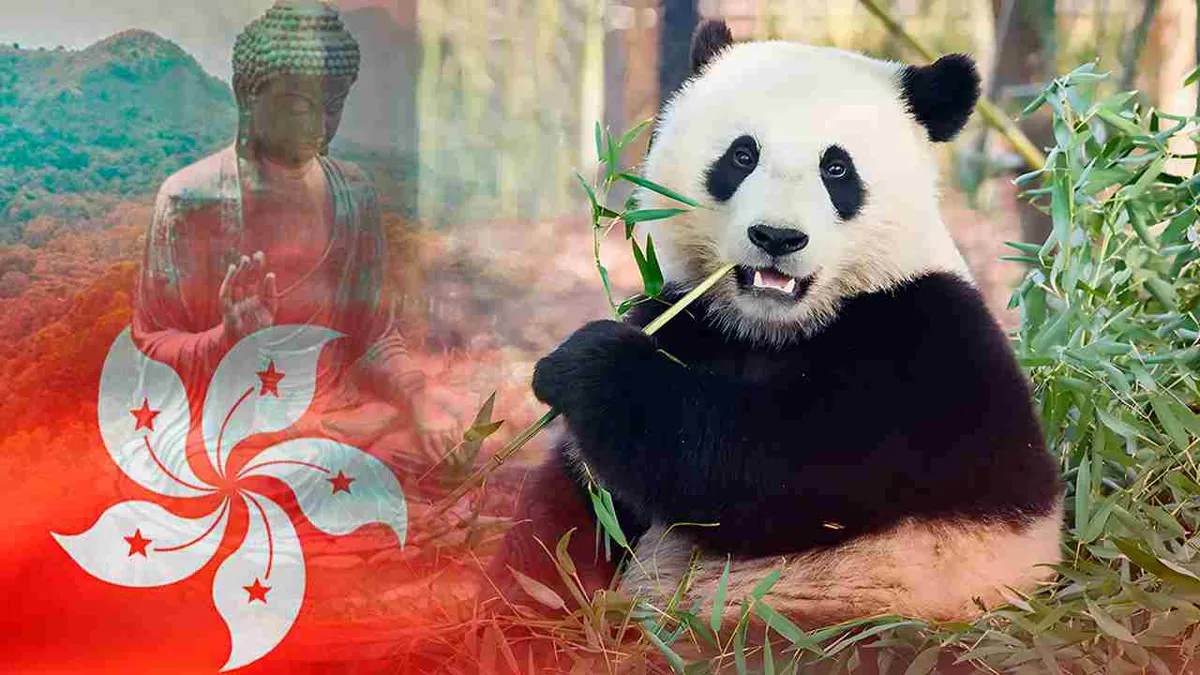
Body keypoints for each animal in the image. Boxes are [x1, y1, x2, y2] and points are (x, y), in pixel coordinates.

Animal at [487, 20, 1064, 633]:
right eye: (742, 155)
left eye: (837, 168)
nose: (777, 237)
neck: (775, 327)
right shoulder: (690, 318)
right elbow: (582, 502)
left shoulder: (926, 348)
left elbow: (778, 470)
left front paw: (588, 365)